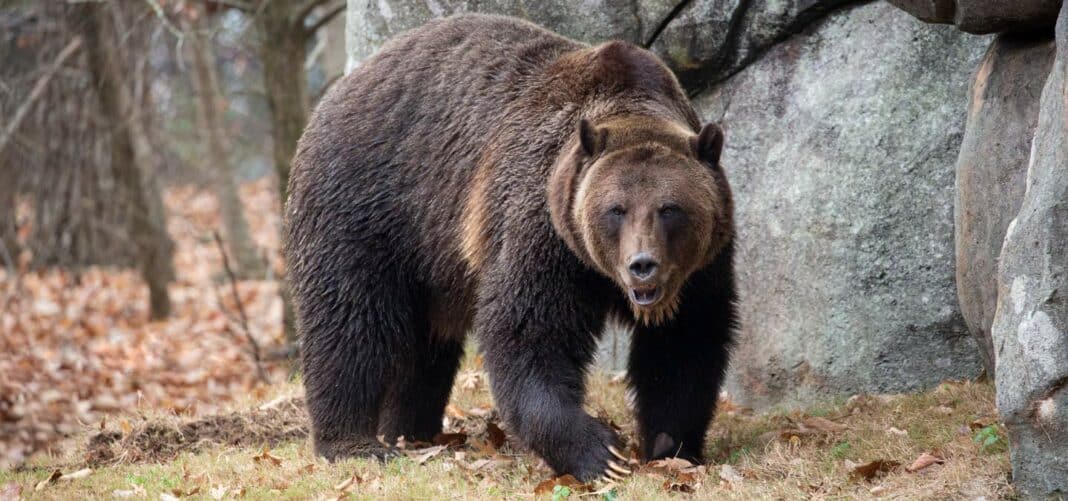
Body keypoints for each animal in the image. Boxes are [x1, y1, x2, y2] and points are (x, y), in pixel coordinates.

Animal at [284, 13, 737, 482]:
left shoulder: (703, 268)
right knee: (350, 322)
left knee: (424, 346)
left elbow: (686, 344)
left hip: (431, 259)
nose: (642, 265)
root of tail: (340, 87)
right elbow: (527, 332)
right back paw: (353, 443)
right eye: (616, 209)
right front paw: (600, 454)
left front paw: (671, 447)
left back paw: (411, 431)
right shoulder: (541, 227)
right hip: (371, 205)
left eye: (670, 209)